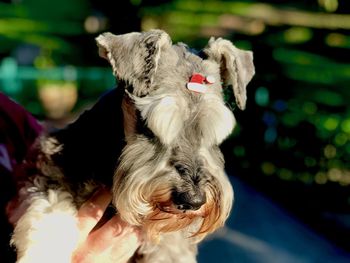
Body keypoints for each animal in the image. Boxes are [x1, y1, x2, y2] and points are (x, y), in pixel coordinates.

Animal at [8, 29, 254, 262]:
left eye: (214, 132)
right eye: (147, 125)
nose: (192, 200)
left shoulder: (169, 243)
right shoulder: (47, 172)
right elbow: (49, 212)